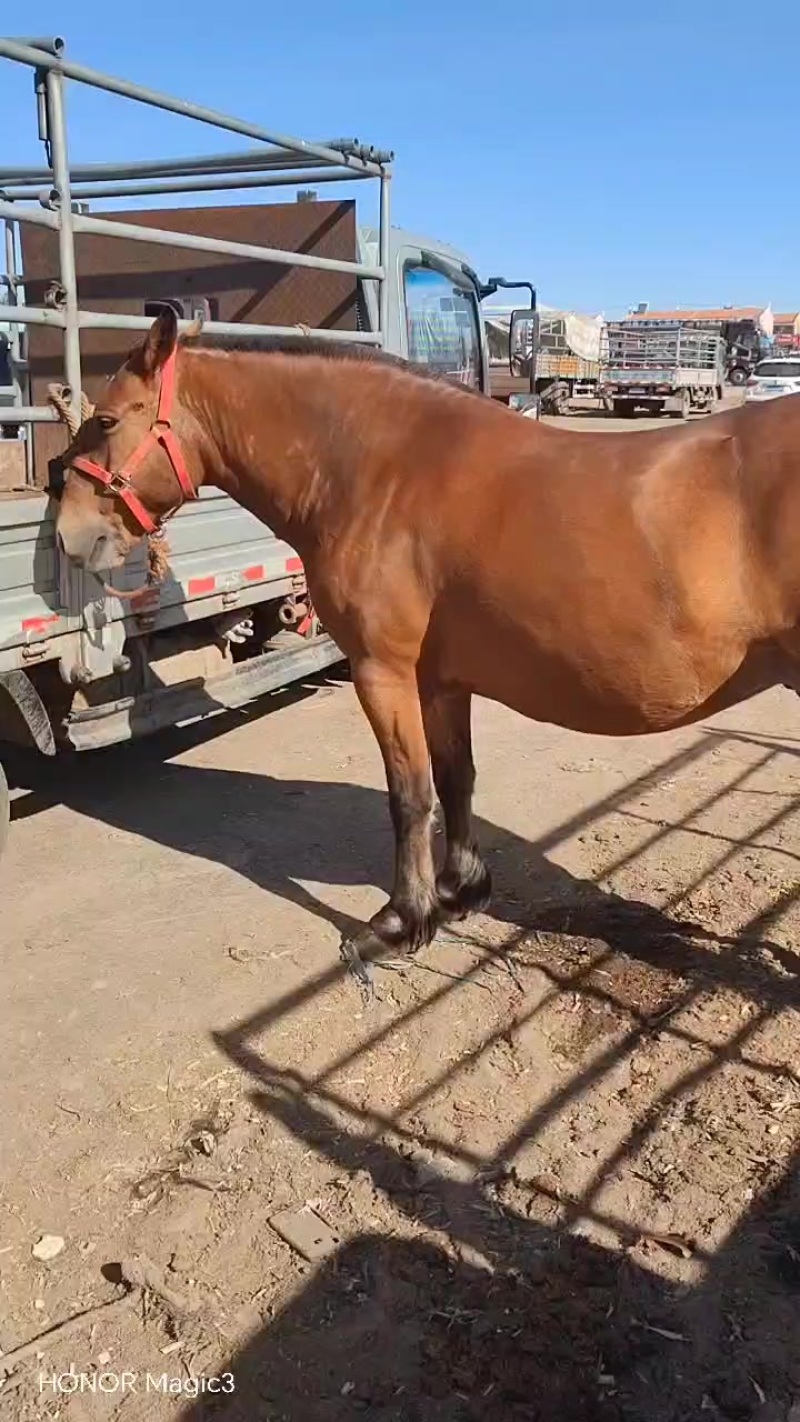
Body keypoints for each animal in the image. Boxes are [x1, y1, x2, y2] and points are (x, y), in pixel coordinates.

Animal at [56, 308, 800, 984]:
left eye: (107, 421)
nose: (70, 536)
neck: (382, 468)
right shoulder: (442, 678)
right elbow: (454, 777)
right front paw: (459, 890)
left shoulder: (382, 670)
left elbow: (409, 794)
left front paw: (401, 921)